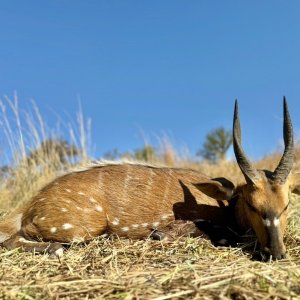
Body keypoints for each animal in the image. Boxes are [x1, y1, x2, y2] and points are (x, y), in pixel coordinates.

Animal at [0, 97, 298, 258]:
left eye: (286, 205)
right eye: (251, 204)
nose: (276, 253)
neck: (224, 207)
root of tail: (29, 207)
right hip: (81, 227)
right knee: (14, 240)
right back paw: (56, 249)